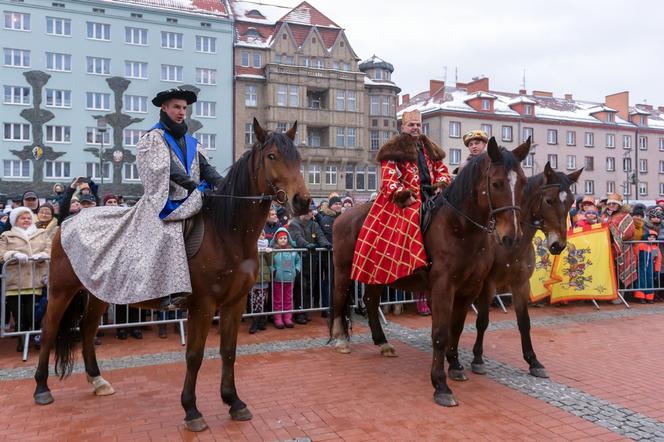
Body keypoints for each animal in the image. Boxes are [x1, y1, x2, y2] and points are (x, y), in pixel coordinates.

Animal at [31, 118, 312, 432]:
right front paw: (191, 409)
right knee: (49, 329)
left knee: (88, 330)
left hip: (99, 292)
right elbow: (194, 356)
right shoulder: (202, 306)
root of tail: (67, 219)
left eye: (298, 158)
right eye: (272, 156)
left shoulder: (234, 303)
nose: (302, 202)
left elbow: (228, 351)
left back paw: (97, 380)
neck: (227, 232)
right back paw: (42, 387)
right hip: (61, 290)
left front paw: (234, 401)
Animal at [332, 136, 536, 406]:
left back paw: (383, 342)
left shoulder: (469, 289)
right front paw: (440, 384)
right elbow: (440, 332)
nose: (512, 237)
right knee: (338, 299)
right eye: (496, 183)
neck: (460, 228)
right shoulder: (443, 287)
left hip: (376, 273)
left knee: (370, 301)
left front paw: (456, 366)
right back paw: (341, 339)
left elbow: (456, 328)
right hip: (343, 271)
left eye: (522, 183)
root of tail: (342, 217)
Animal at [444, 163, 584, 384]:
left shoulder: (521, 285)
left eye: (570, 201)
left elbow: (524, 323)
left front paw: (533, 361)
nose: (558, 245)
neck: (510, 245)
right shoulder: (488, 286)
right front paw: (477, 359)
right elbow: (482, 321)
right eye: (549, 200)